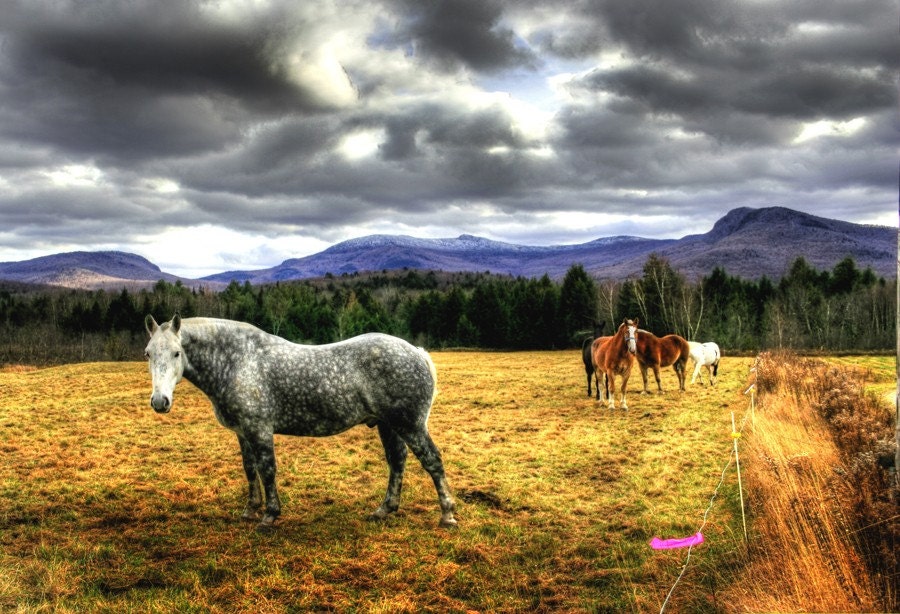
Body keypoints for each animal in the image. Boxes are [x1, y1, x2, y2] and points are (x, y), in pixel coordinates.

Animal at [144, 314, 457, 531]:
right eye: (148, 353)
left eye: (176, 352)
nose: (160, 402)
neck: (238, 362)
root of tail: (418, 353)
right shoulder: (243, 432)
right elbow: (250, 470)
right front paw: (250, 510)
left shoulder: (259, 430)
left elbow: (268, 470)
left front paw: (269, 515)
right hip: (388, 425)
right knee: (397, 461)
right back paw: (385, 509)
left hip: (410, 425)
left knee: (432, 461)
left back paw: (448, 515)